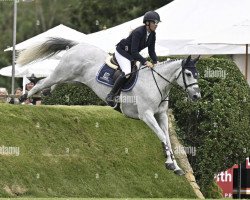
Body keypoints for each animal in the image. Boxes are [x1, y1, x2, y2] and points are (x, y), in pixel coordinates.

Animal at [16, 37, 201, 175]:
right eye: (188, 73)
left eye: (197, 74)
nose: (196, 96)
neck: (156, 84)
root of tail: (78, 45)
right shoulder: (146, 115)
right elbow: (162, 136)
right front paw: (170, 164)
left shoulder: (161, 115)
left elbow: (167, 138)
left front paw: (176, 166)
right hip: (63, 72)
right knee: (42, 83)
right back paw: (21, 98)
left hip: (71, 78)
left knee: (51, 85)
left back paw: (41, 91)